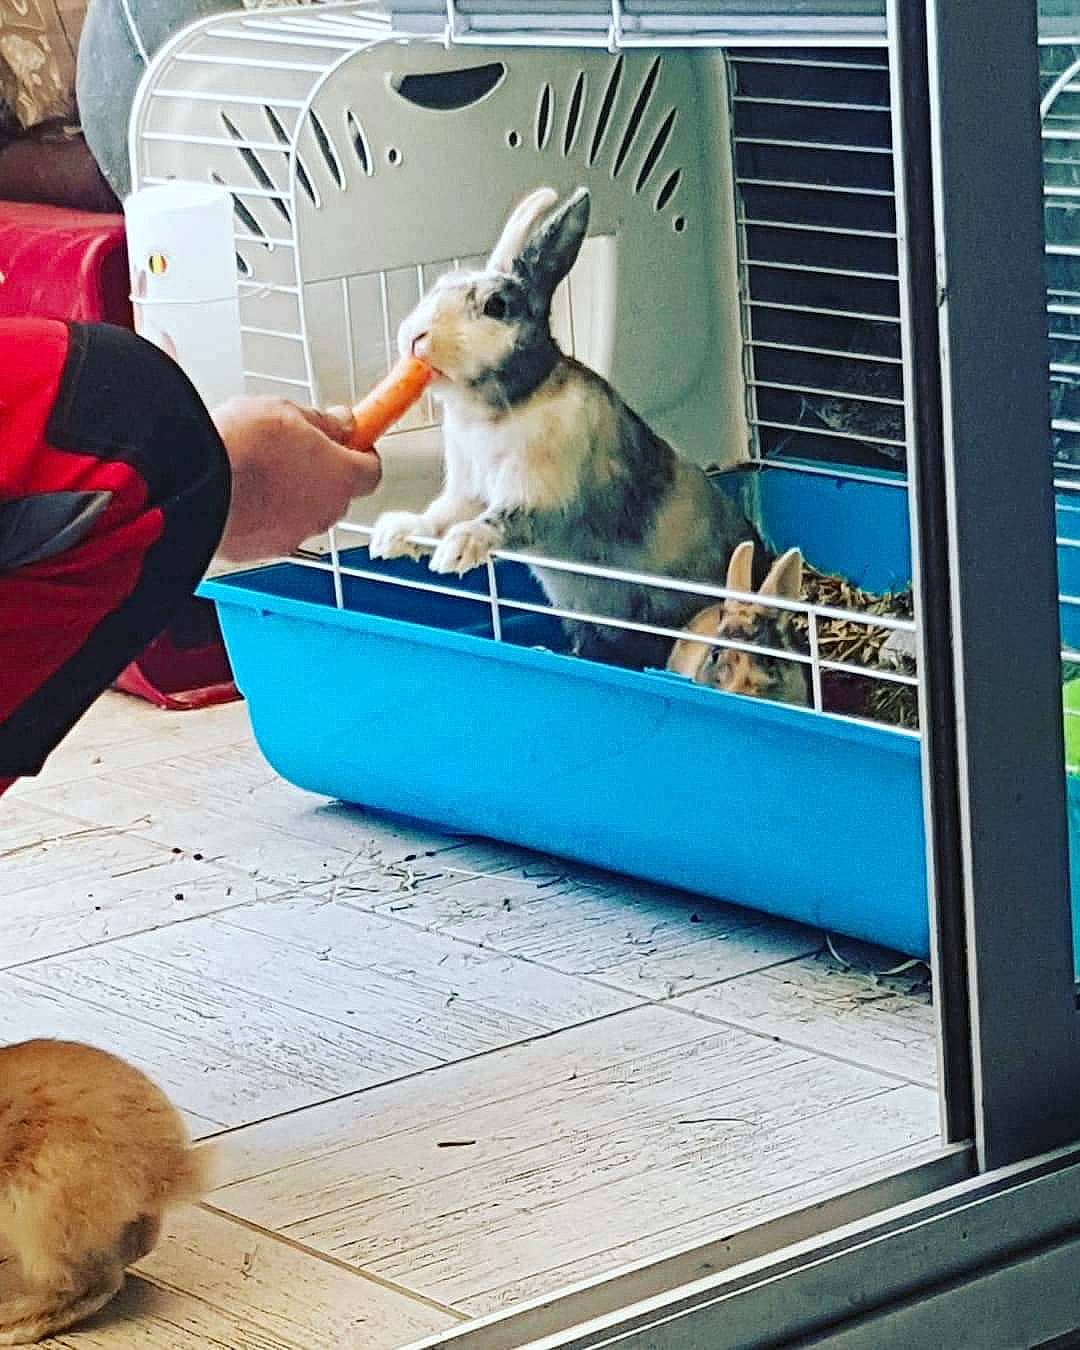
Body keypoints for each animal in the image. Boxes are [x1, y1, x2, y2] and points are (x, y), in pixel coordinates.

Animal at [368, 185, 769, 671]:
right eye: (441, 285)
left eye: (495, 306)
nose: (415, 337)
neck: (499, 406)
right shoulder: (468, 491)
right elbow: (438, 517)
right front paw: (393, 535)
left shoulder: (538, 494)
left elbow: (500, 519)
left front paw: (458, 550)